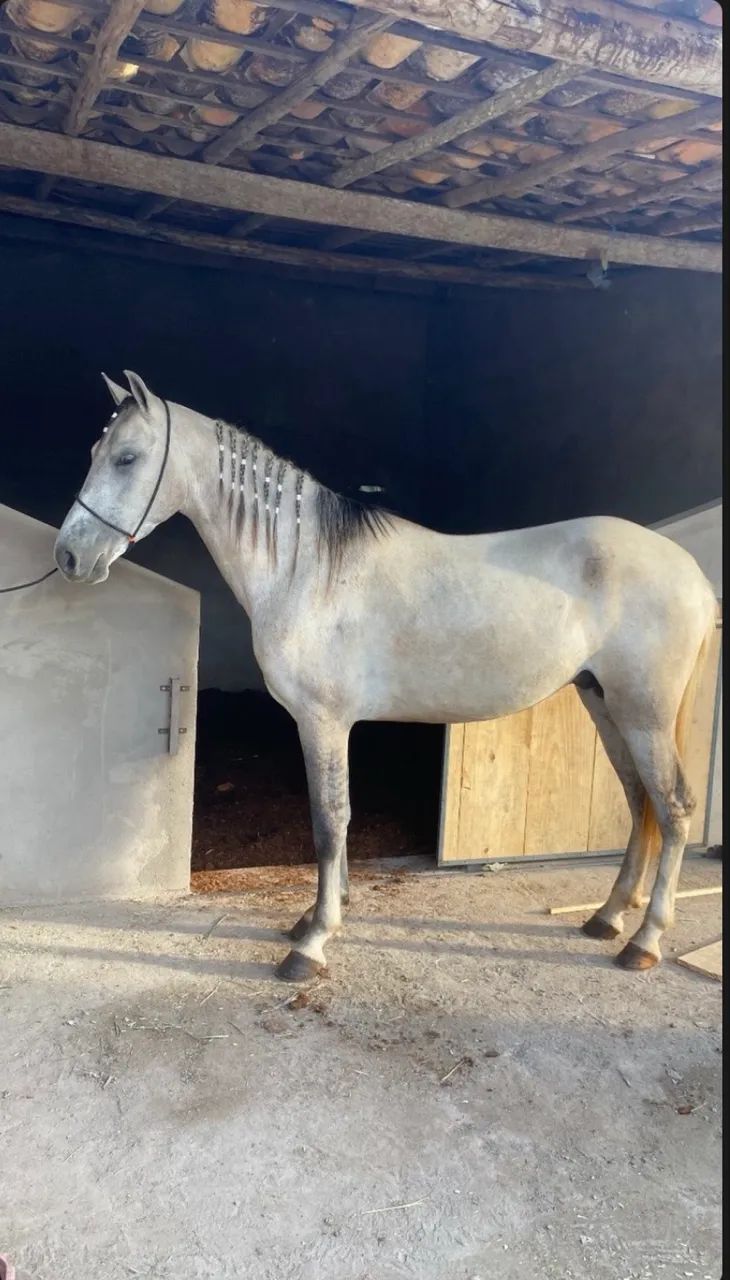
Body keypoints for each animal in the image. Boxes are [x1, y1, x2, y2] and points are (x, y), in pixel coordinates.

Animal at [54, 370, 717, 982]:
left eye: (127, 457)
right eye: (94, 452)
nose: (69, 557)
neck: (308, 569)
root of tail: (691, 573)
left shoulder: (323, 720)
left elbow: (328, 821)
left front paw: (313, 942)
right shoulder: (331, 725)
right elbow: (336, 817)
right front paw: (323, 915)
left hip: (642, 712)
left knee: (674, 806)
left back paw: (645, 940)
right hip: (605, 702)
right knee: (639, 800)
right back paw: (608, 916)